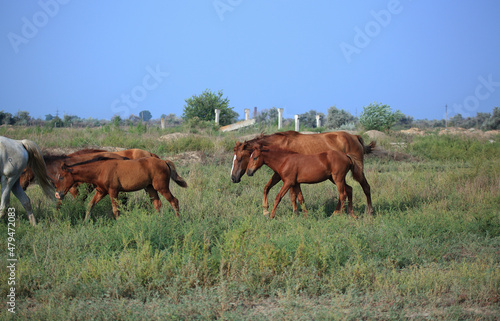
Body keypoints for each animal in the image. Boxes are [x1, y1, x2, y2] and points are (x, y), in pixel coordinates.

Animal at [53, 156, 188, 221]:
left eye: (61, 177)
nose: (57, 195)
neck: (100, 170)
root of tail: (164, 161)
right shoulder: (101, 192)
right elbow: (90, 205)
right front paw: (85, 223)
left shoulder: (113, 191)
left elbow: (115, 210)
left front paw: (119, 224)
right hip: (150, 188)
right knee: (157, 204)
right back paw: (159, 221)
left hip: (161, 187)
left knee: (174, 201)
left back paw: (179, 220)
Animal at [230, 130, 376, 215]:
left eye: (240, 158)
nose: (233, 178)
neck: (281, 145)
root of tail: (355, 137)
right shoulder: (284, 176)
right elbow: (268, 188)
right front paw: (266, 209)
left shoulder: (285, 177)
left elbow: (290, 195)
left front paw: (293, 212)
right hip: (335, 177)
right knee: (348, 190)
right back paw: (340, 212)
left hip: (355, 172)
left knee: (365, 187)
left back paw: (369, 211)